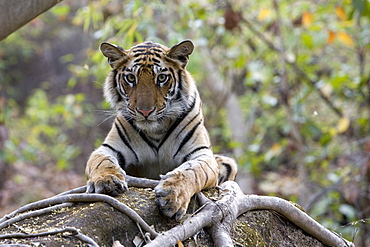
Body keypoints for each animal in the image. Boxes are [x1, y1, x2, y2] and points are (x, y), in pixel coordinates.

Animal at [85, 39, 238, 220]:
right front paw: (106, 180)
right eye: (131, 78)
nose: (145, 111)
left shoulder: (202, 155)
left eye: (162, 78)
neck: (155, 130)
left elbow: (192, 171)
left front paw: (173, 195)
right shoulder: (108, 148)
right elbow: (102, 162)